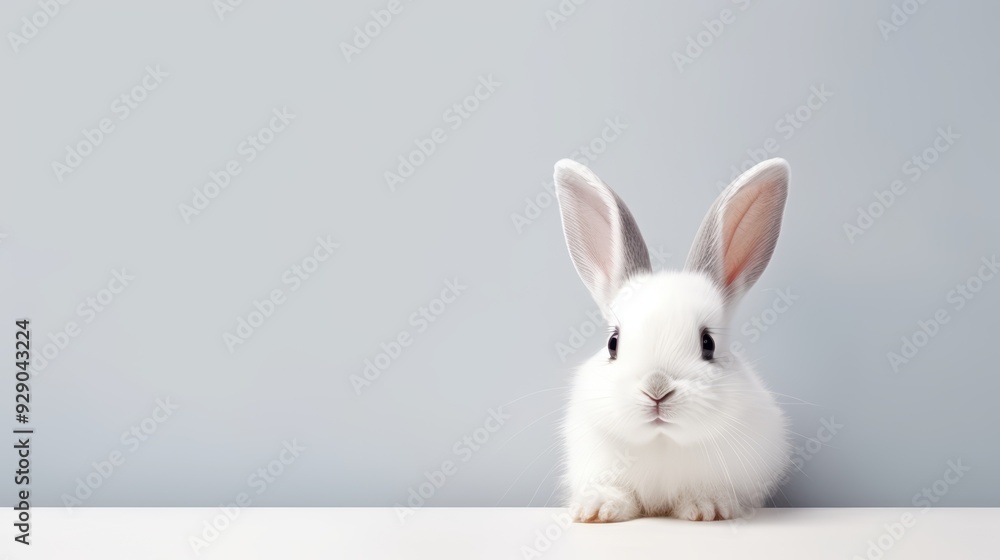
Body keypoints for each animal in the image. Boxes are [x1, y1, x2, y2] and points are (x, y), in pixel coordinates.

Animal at [552, 157, 792, 523]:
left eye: (708, 344)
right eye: (613, 343)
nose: (656, 389)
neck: (661, 440)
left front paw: (708, 508)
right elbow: (614, 491)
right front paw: (597, 510)